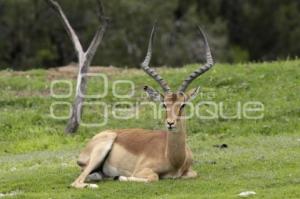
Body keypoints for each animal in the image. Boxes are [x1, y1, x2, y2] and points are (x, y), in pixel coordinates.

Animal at [71, 24, 214, 188]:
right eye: (164, 105)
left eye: (183, 105)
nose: (170, 123)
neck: (174, 159)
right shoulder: (141, 170)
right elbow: (153, 177)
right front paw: (121, 177)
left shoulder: (190, 171)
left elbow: (193, 174)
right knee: (76, 182)